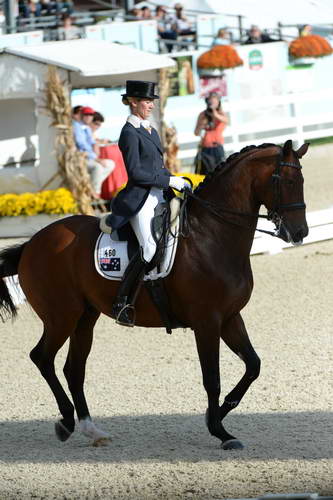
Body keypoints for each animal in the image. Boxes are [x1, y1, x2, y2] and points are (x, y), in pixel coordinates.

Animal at [0, 140, 308, 450]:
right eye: (288, 181)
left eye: (302, 181)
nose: (299, 232)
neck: (212, 236)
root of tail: (31, 244)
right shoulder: (207, 322)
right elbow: (212, 379)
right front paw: (221, 432)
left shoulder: (230, 317)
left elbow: (253, 365)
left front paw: (217, 415)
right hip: (61, 317)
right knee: (42, 358)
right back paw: (65, 422)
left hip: (84, 318)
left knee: (73, 370)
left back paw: (91, 430)